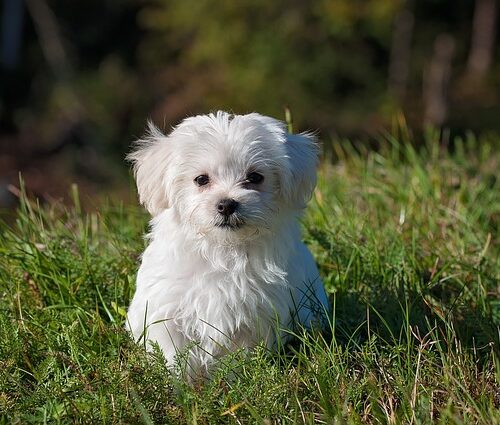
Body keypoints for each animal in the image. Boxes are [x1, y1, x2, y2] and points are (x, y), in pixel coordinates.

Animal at [125, 111, 328, 376]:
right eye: (201, 179)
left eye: (255, 177)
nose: (226, 204)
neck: (222, 249)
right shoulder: (167, 310)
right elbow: (173, 353)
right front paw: (178, 382)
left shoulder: (254, 316)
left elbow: (239, 356)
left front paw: (234, 378)